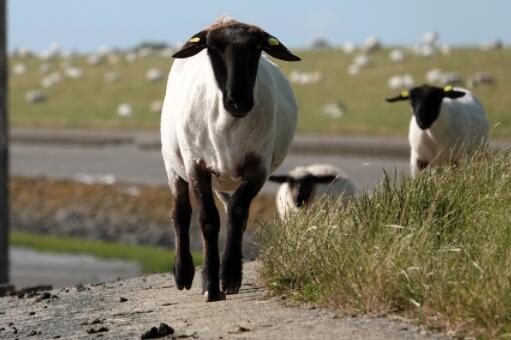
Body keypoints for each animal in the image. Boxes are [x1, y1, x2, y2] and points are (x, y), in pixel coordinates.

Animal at [161, 17, 300, 302]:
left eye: (258, 48)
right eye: (213, 47)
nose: (239, 101)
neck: (227, 124)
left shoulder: (258, 166)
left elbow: (237, 212)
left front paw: (230, 278)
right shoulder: (196, 165)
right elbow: (207, 220)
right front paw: (210, 287)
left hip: (227, 177)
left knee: (235, 210)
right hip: (173, 164)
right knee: (180, 213)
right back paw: (183, 274)